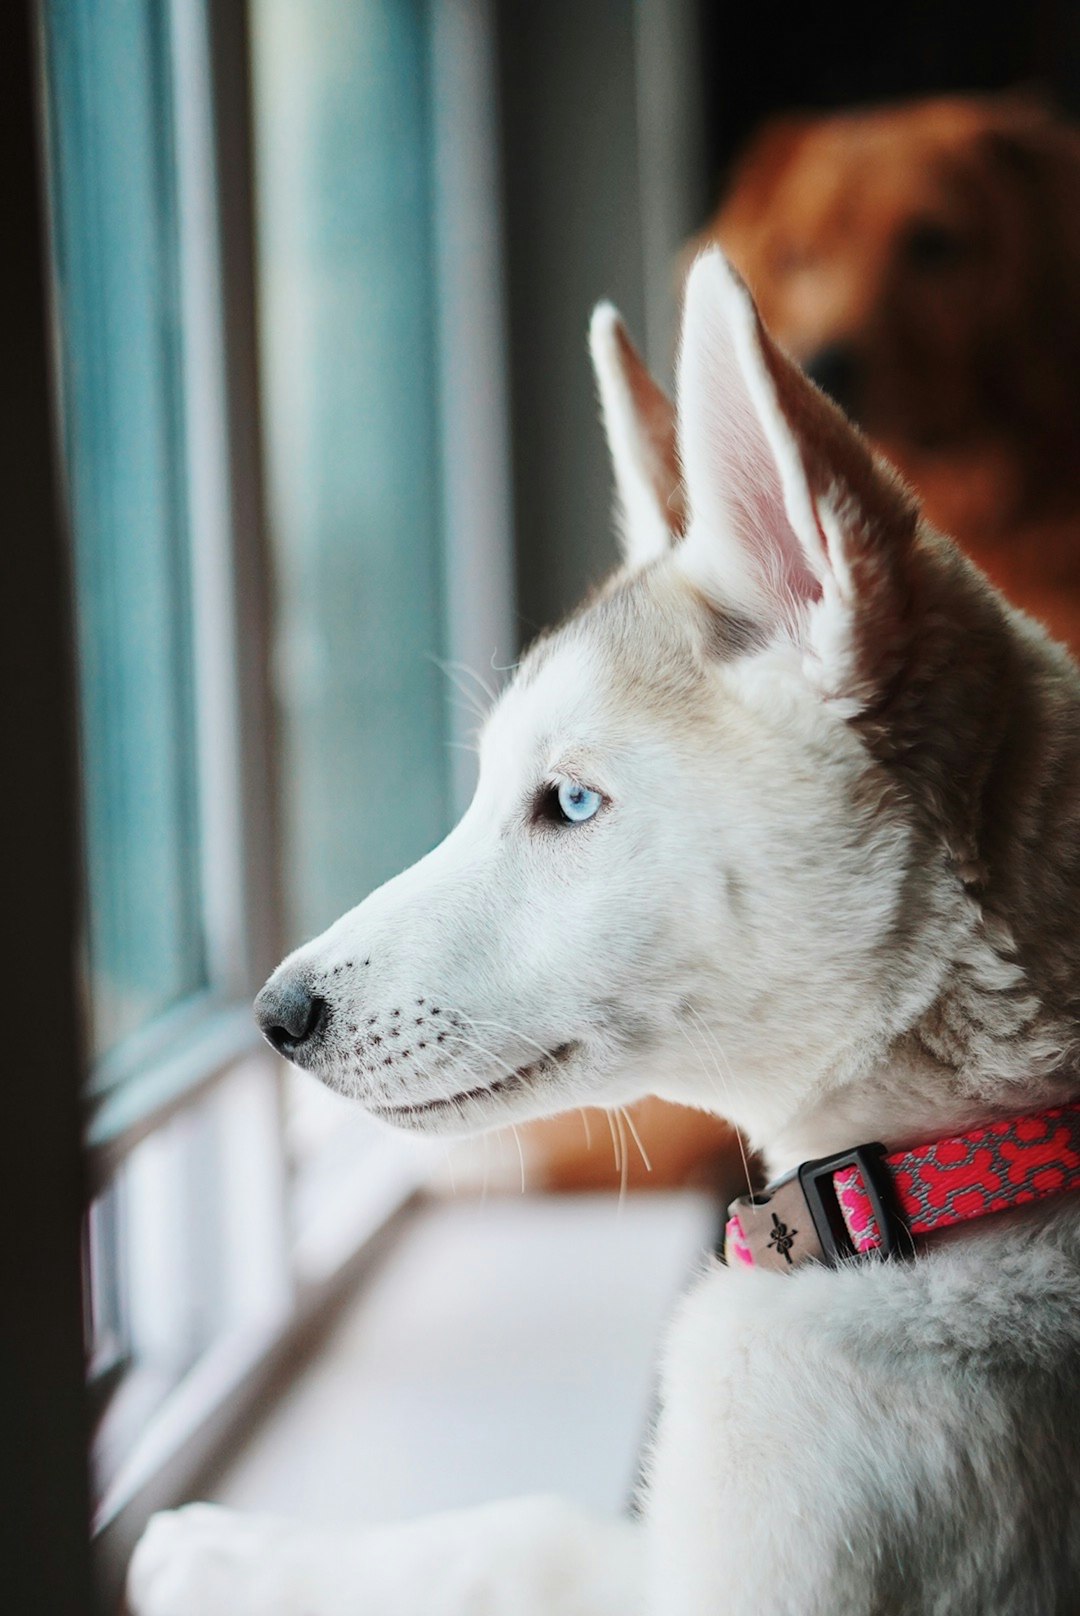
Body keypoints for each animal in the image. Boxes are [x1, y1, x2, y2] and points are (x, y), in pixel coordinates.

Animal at [130, 245, 1080, 1609]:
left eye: (570, 802)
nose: (277, 1012)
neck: (955, 1169)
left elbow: (520, 1536)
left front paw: (232, 1552)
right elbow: (520, 1526)